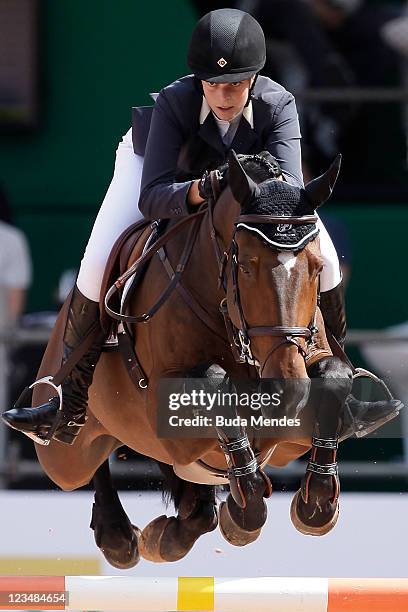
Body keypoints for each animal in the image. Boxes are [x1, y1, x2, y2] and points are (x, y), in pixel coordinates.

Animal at [27, 149, 352, 568]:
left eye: (317, 267)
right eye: (245, 266)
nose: (287, 386)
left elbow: (334, 374)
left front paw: (316, 505)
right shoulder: (164, 399)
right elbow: (214, 382)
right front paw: (246, 507)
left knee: (193, 503)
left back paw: (174, 529)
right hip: (65, 460)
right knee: (89, 462)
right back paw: (119, 534)